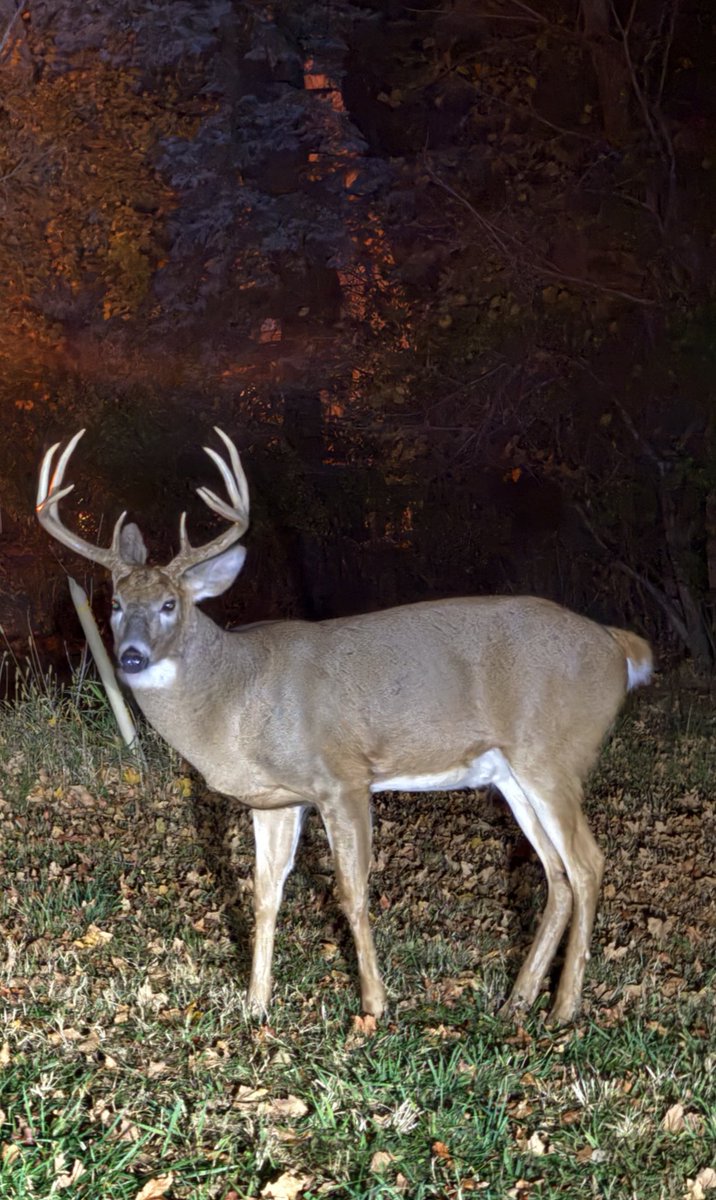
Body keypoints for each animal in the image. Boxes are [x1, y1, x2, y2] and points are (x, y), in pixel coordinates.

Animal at [36, 428, 653, 1024]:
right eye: (116, 603)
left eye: (169, 604)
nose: (132, 657)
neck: (236, 698)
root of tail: (618, 648)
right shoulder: (275, 799)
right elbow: (264, 894)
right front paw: (255, 1005)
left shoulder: (343, 777)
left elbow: (352, 893)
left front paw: (374, 1005)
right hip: (510, 775)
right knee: (557, 877)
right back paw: (517, 1002)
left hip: (554, 754)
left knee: (589, 865)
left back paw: (563, 1011)